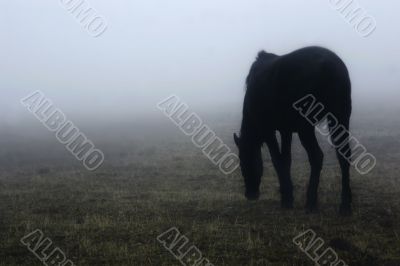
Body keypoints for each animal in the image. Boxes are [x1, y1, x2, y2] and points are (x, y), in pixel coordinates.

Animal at [234, 46, 354, 215]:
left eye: (244, 162)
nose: (250, 194)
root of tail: (330, 66)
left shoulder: (268, 130)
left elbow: (278, 161)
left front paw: (286, 199)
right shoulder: (286, 130)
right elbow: (286, 159)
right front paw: (288, 195)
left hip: (307, 127)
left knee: (317, 156)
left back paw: (311, 202)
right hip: (340, 116)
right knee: (343, 155)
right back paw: (345, 204)